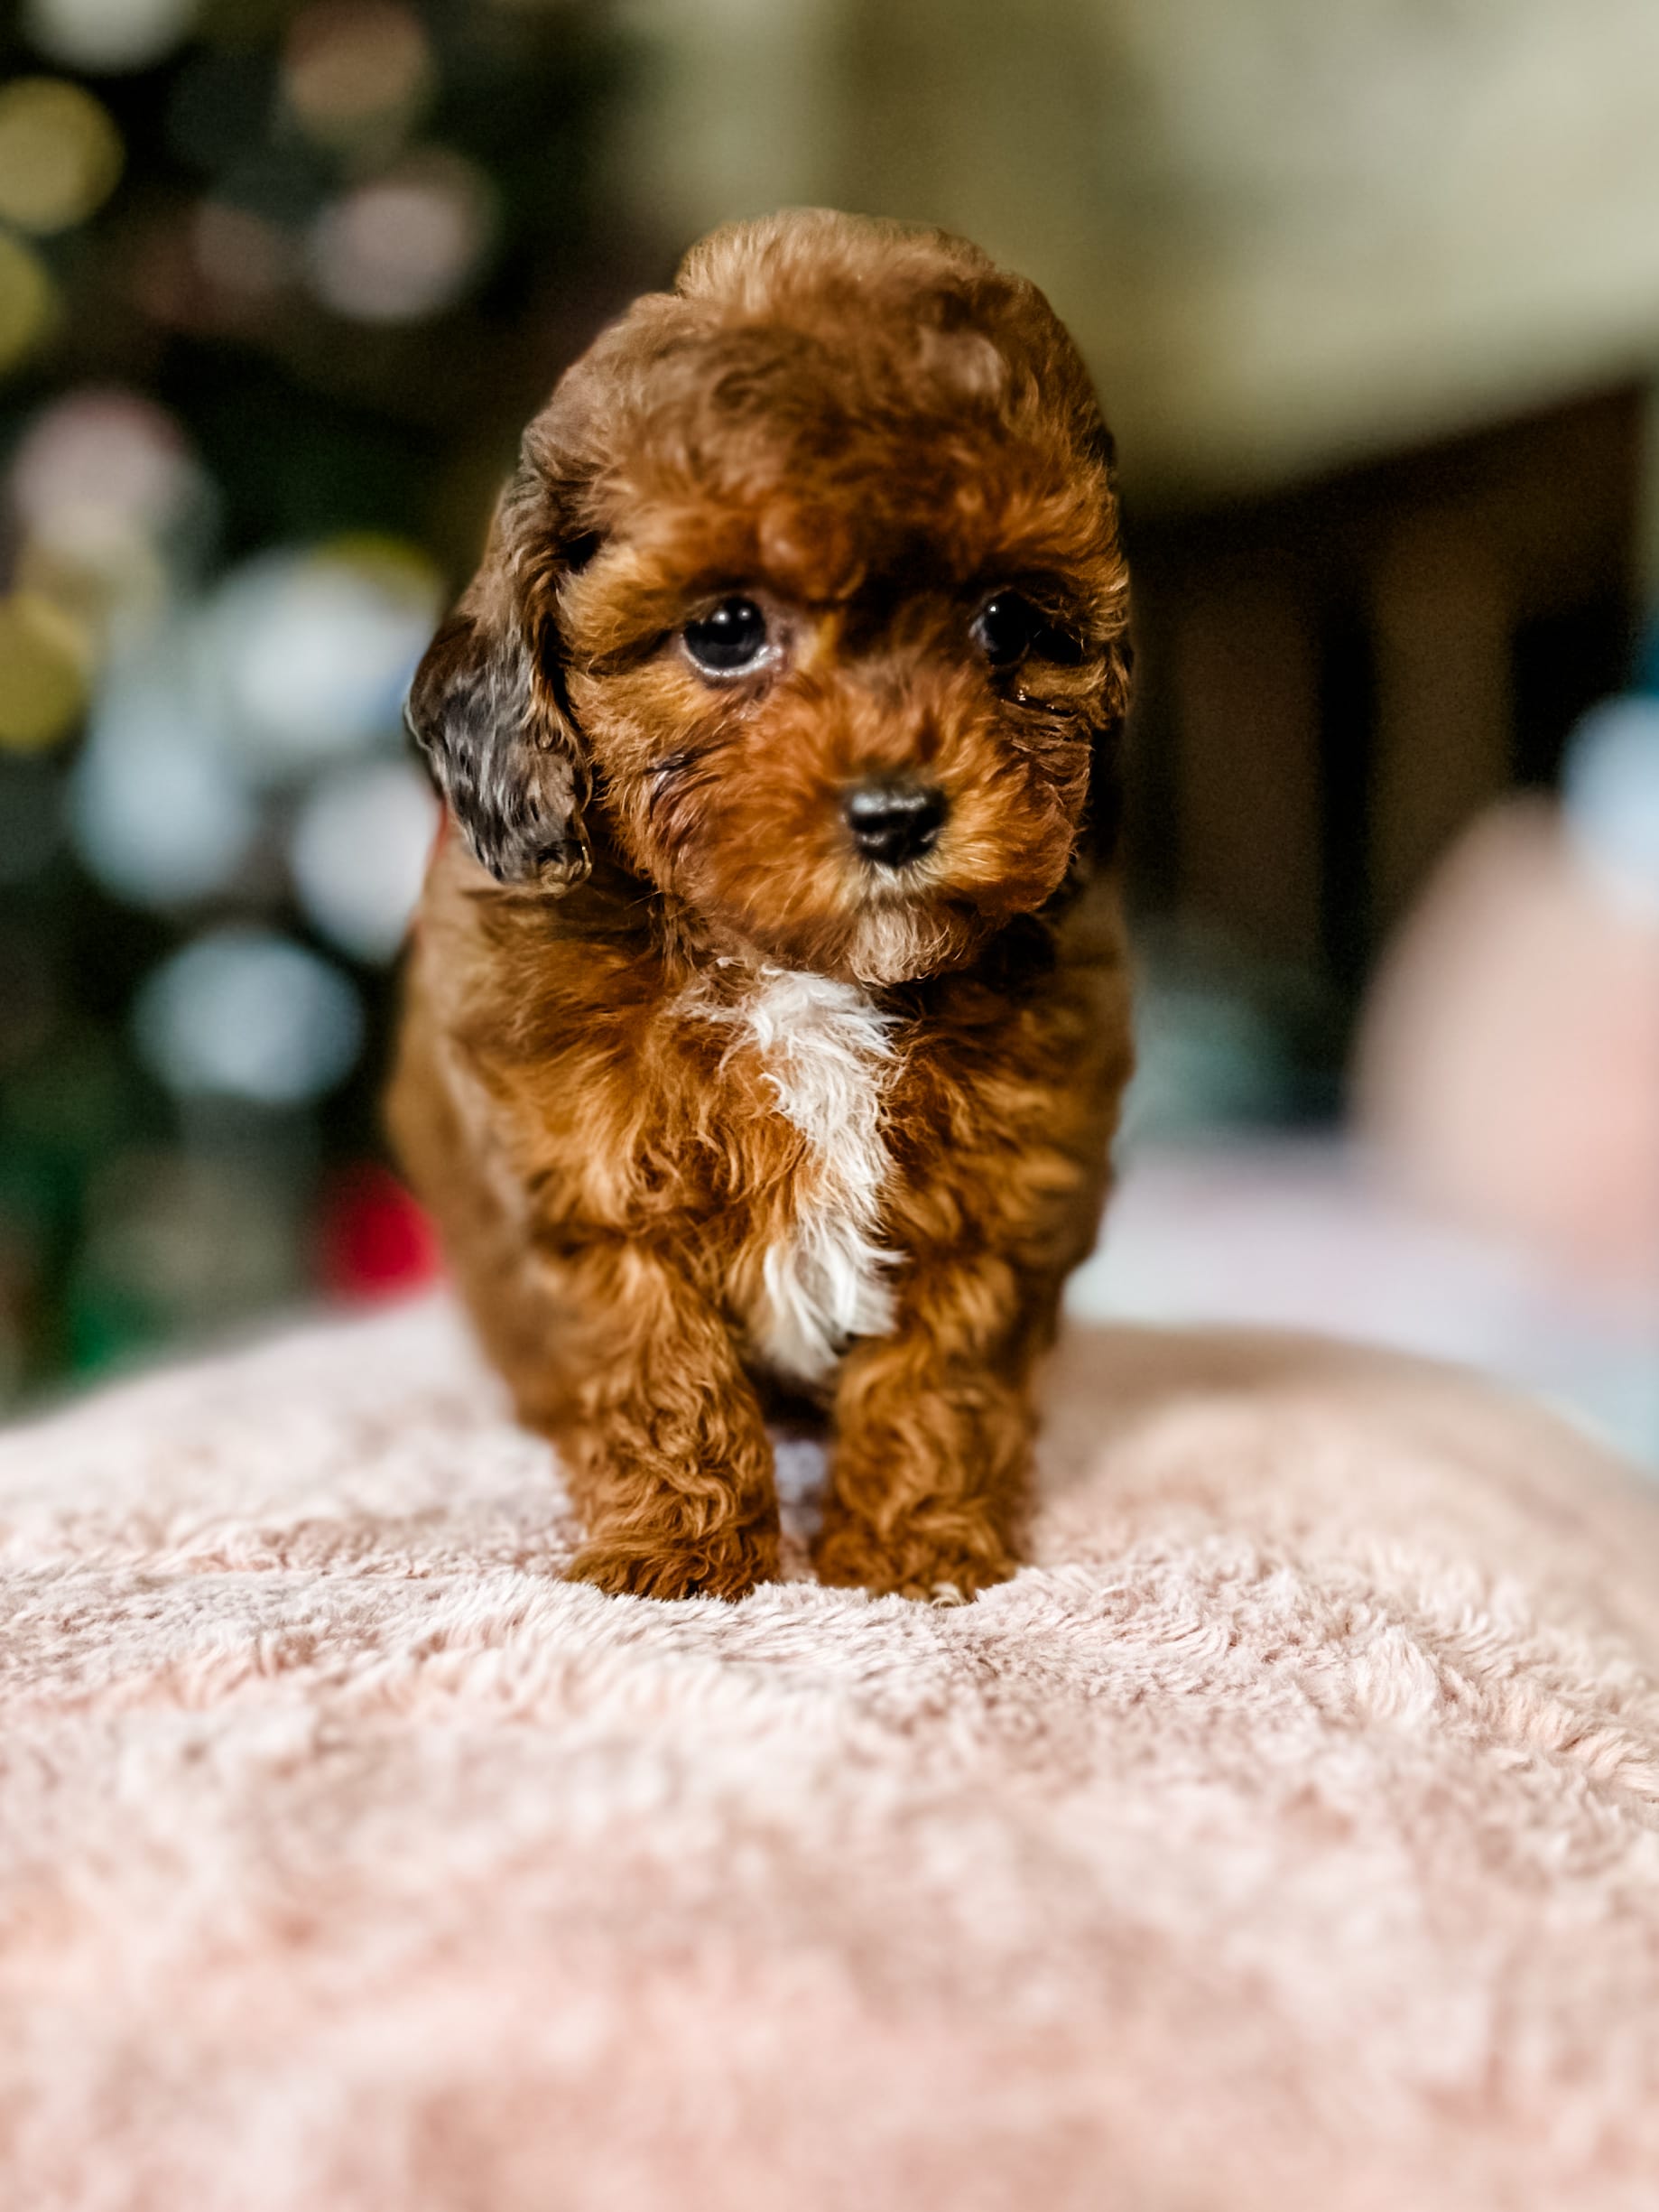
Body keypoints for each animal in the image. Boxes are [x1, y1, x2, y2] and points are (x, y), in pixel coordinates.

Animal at [391, 208, 1141, 1601]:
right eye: (724, 629)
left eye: (1008, 623)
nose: (897, 815)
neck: (800, 968)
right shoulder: (590, 1186)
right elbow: (656, 1363)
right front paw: (676, 1552)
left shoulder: (1002, 1191)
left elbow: (941, 1365)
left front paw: (910, 1549)